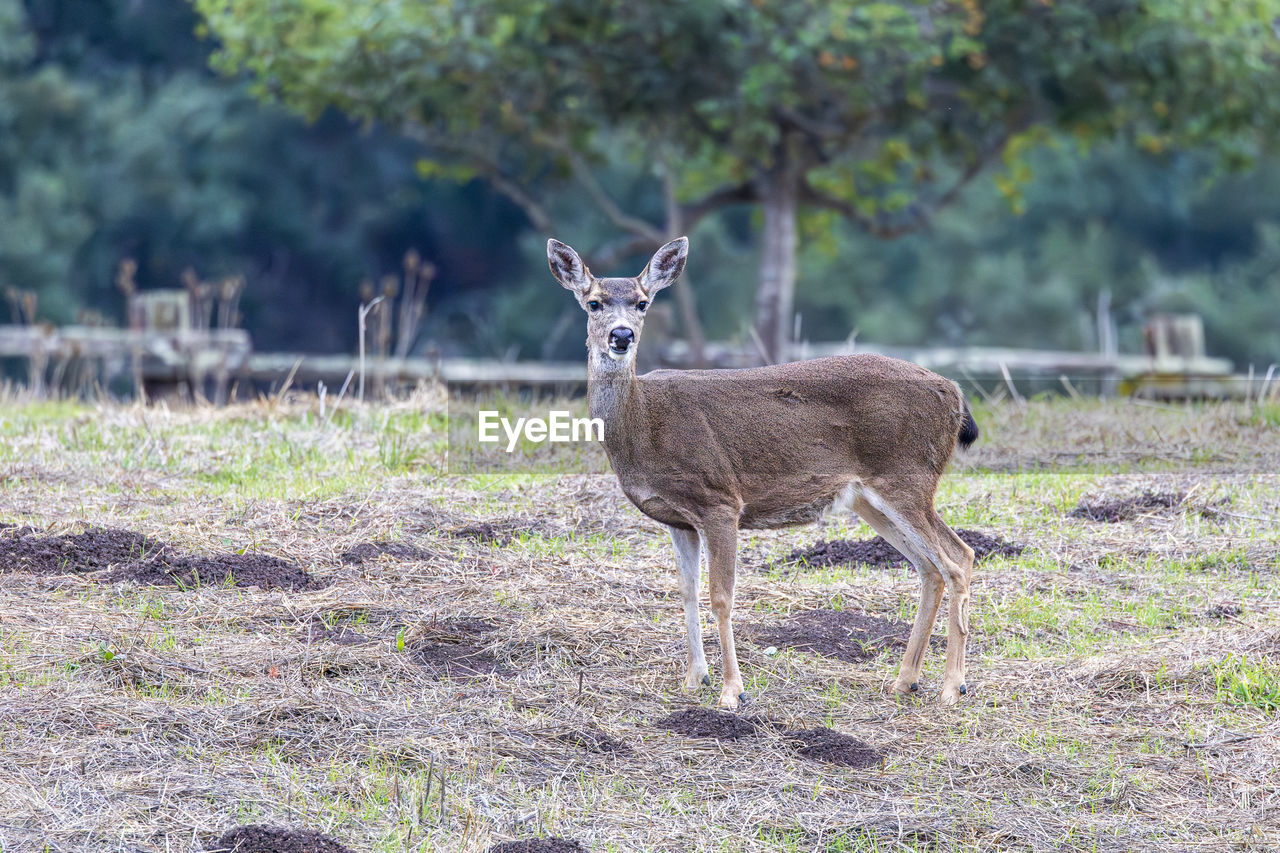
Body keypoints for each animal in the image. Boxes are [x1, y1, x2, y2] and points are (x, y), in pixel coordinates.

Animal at [550, 235, 977, 706]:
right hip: (871, 497)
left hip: (907, 476)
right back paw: (906, 680)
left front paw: (732, 692)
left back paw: (952, 687)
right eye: (593, 302)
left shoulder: (719, 500)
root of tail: (953, 393)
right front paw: (693, 679)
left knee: (959, 557)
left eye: (643, 303)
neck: (644, 427)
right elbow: (686, 591)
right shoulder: (677, 518)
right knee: (930, 567)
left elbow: (721, 596)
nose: (621, 335)